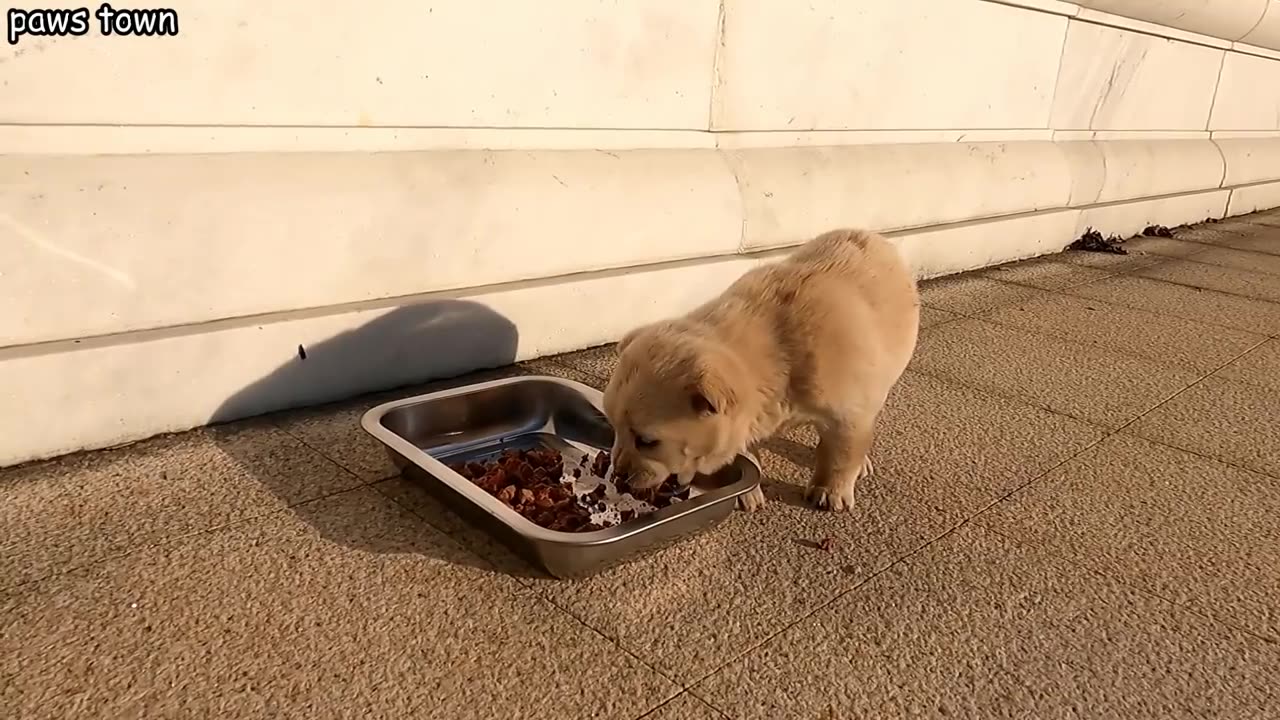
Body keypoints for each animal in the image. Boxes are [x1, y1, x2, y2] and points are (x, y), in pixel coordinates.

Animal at [601, 228, 921, 509]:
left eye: (647, 441)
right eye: (613, 426)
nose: (618, 476)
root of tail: (873, 236)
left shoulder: (848, 409)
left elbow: (842, 451)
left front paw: (830, 491)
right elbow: (746, 453)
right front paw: (748, 493)